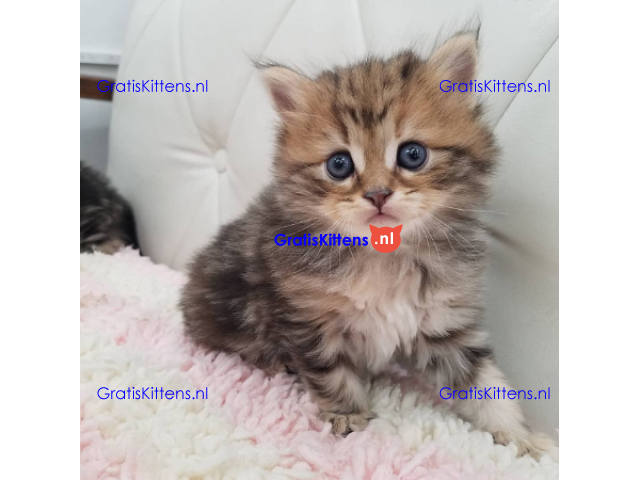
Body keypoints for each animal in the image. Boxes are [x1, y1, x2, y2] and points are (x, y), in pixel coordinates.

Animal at [180, 32, 557, 459]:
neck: (384, 256)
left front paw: (519, 437)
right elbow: (332, 374)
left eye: (412, 154)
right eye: (339, 165)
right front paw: (348, 417)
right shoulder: (310, 321)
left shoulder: (445, 322)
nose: (377, 194)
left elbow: (486, 384)